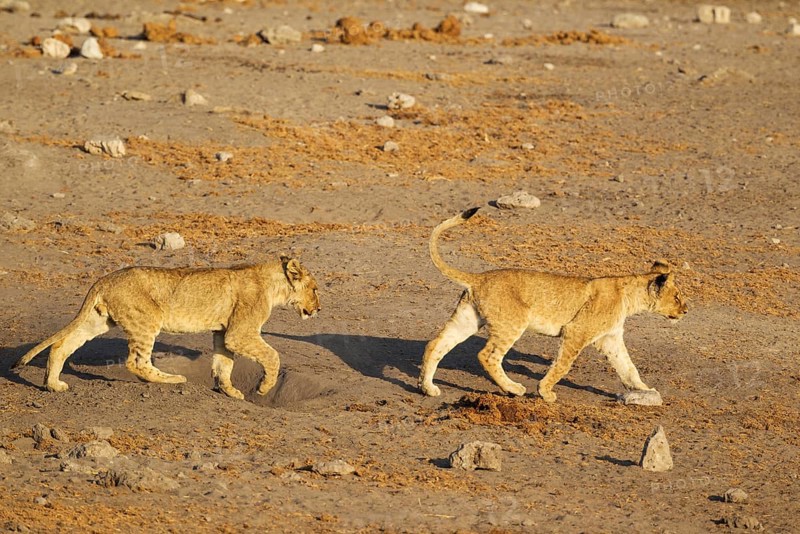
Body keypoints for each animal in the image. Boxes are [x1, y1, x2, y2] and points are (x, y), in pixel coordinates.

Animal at [14, 256, 320, 400]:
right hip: (147, 320)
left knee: (60, 345)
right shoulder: (240, 333)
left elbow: (223, 363)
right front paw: (264, 388)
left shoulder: (224, 332)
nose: (319, 309)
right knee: (136, 362)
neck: (273, 285)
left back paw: (53, 385)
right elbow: (272, 356)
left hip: (97, 320)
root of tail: (104, 279)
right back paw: (172, 379)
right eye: (315, 289)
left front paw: (230, 391)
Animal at [419, 208, 687, 403]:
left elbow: (628, 368)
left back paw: (427, 388)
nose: (685, 310)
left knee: (436, 344)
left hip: (468, 319)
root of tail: (479, 277)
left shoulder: (610, 338)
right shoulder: (576, 332)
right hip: (512, 323)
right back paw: (514, 388)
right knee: (488, 355)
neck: (629, 296)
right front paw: (545, 392)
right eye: (676, 297)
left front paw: (646, 390)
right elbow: (562, 365)